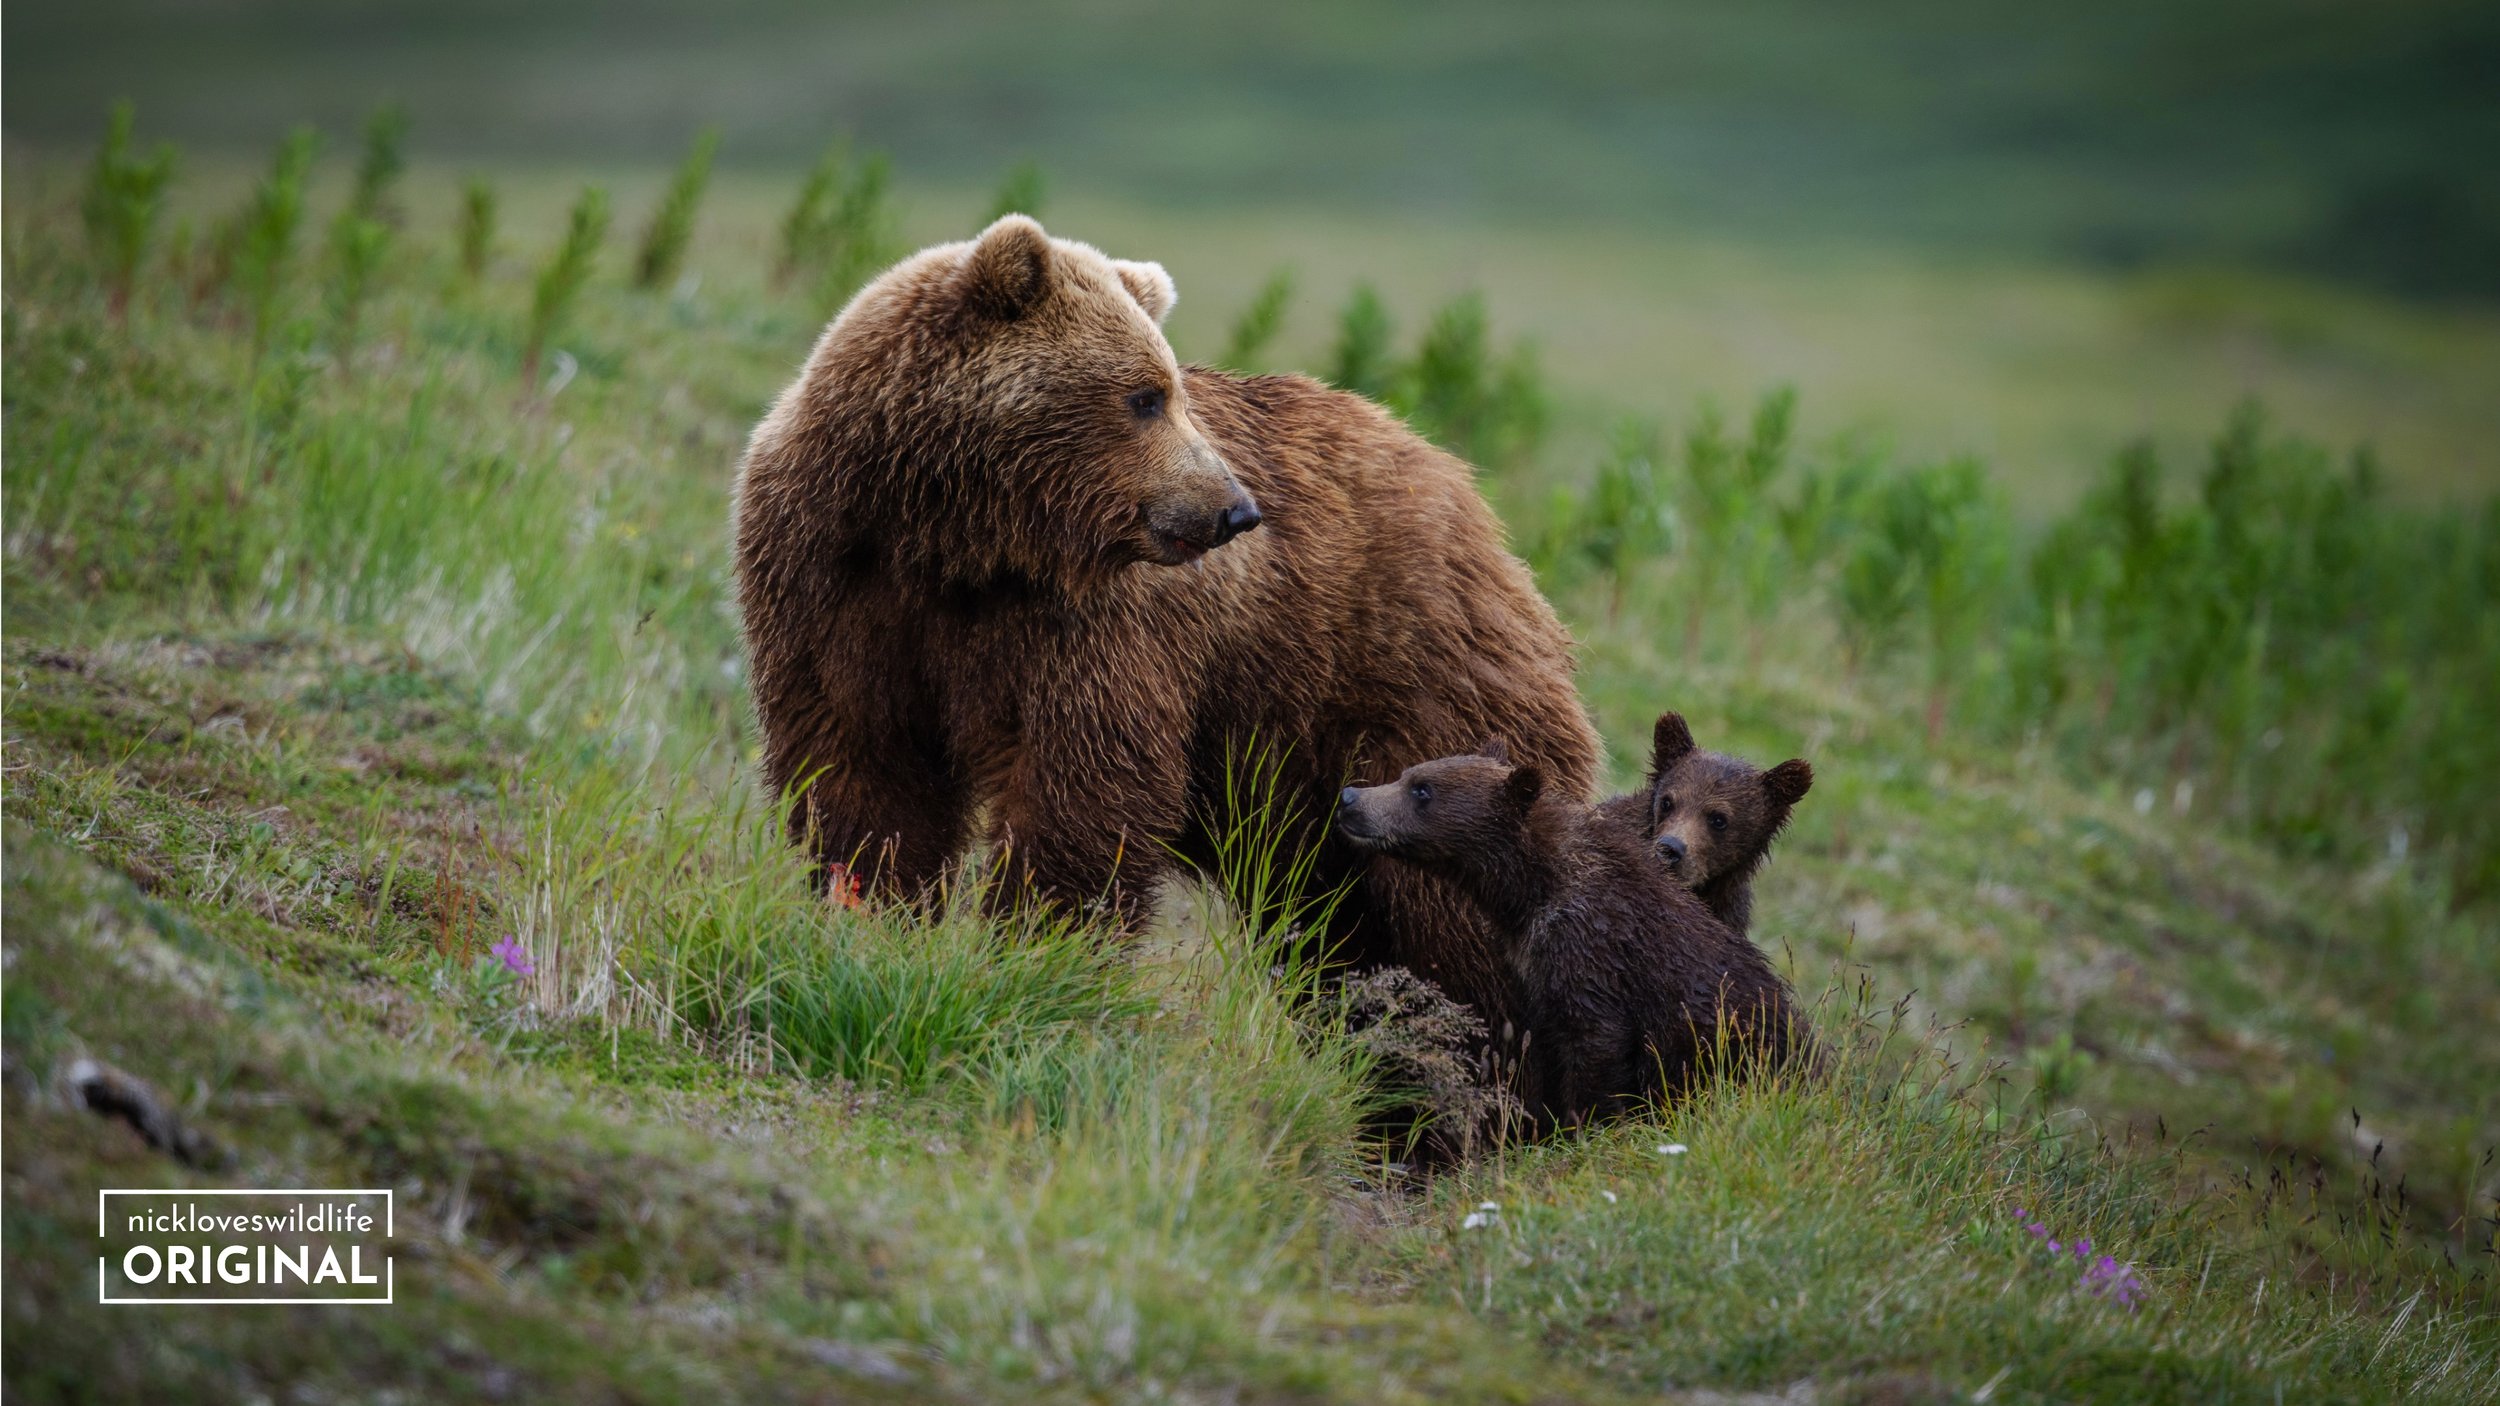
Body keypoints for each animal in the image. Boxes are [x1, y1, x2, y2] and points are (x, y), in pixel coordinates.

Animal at [732, 215, 1600, 1046]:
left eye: (1173, 389)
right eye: (1145, 396)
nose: (1236, 510)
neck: (954, 542)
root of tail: (1485, 521)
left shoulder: (1091, 626)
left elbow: (1085, 779)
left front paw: (1039, 951)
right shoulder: (833, 583)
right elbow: (862, 766)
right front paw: (869, 913)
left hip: (1410, 703)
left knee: (1446, 909)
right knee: (1335, 929)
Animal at [1335, 740, 1805, 1131]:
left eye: (1422, 789)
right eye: (1407, 774)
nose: (1350, 798)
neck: (1533, 889)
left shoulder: (1591, 951)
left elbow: (1594, 1045)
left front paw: (1585, 1127)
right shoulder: (1529, 963)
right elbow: (1542, 1043)